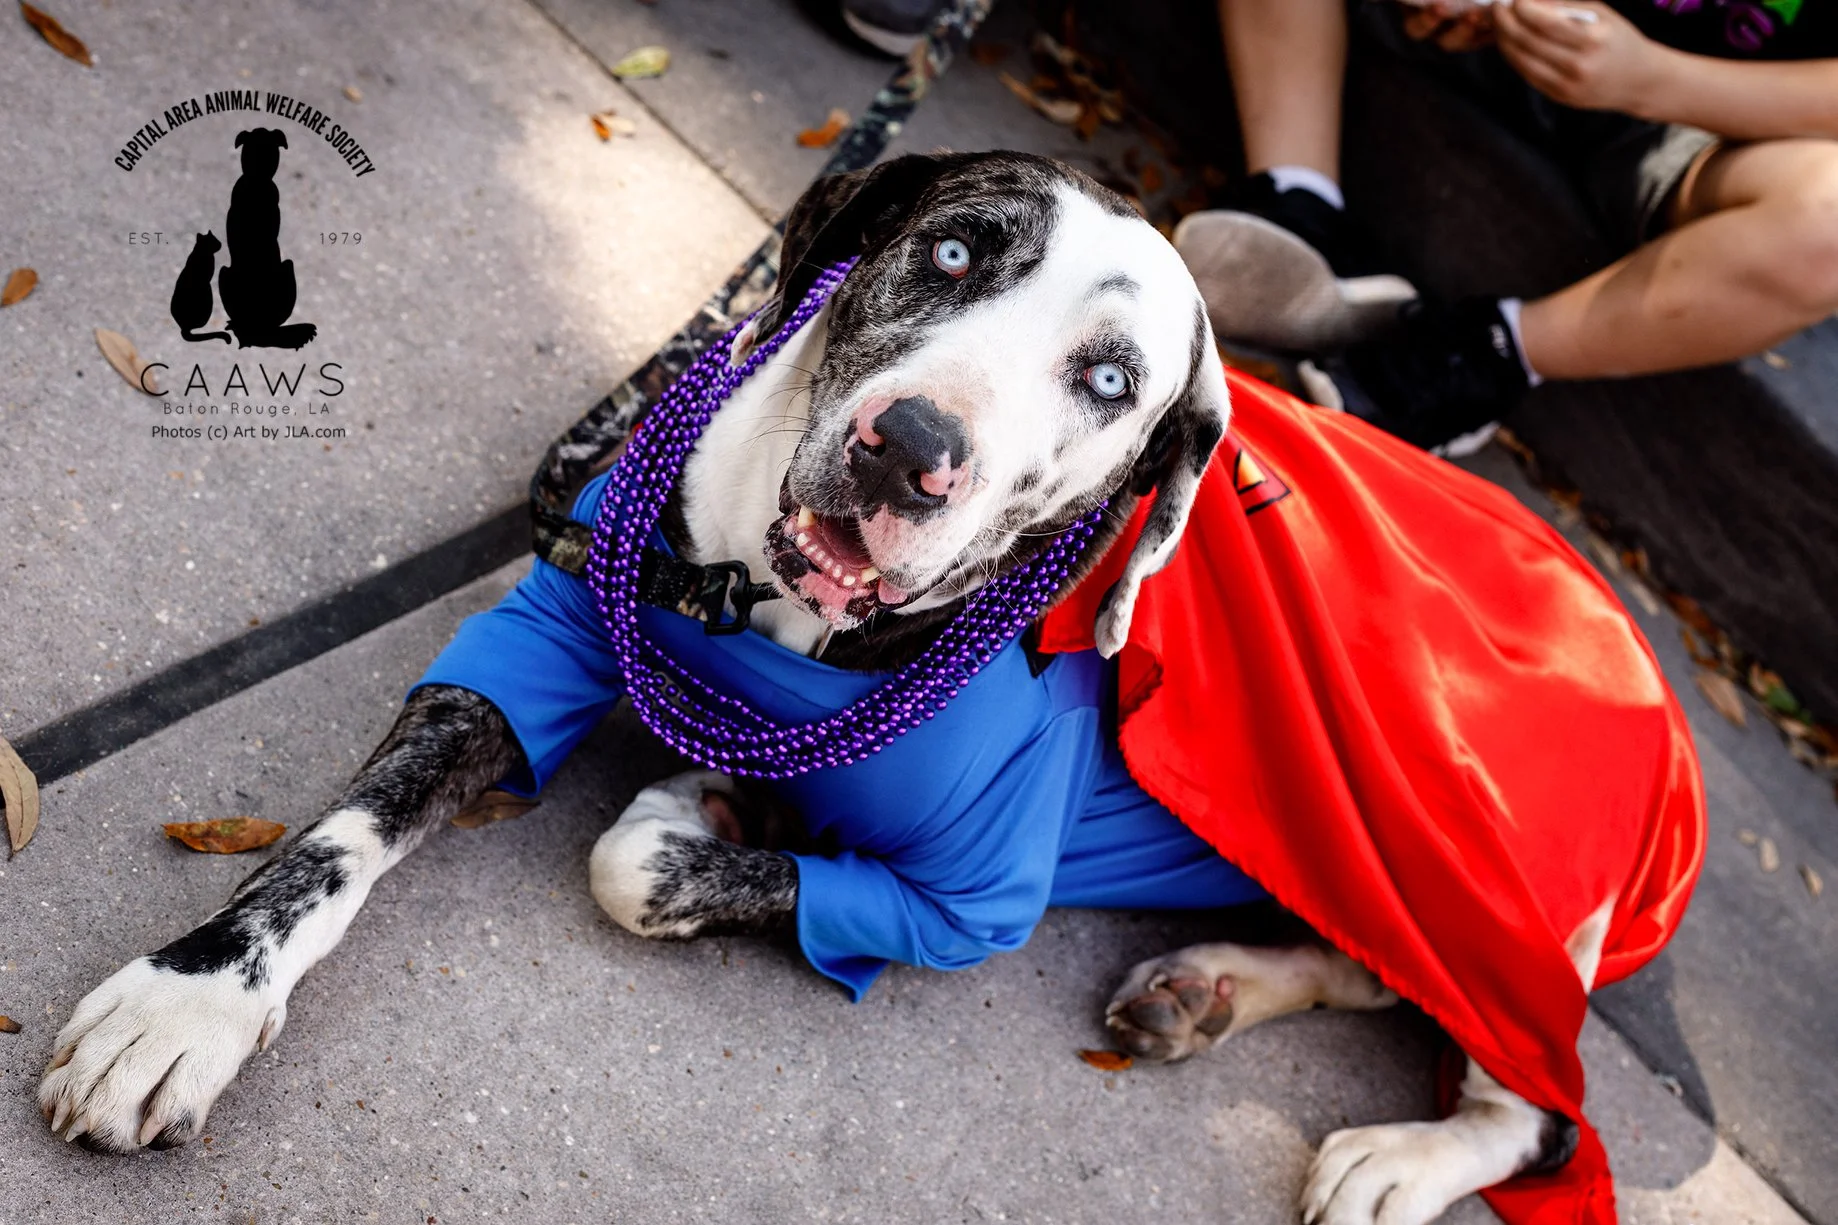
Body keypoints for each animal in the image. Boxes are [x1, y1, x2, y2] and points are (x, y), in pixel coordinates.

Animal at [42, 151, 1597, 1225]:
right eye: (953, 249)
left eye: (1108, 379)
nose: (908, 448)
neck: (771, 620)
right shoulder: (530, 644)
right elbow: (345, 833)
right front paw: (192, 1002)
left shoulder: (976, 901)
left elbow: (640, 867)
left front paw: (715, 812)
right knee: (1363, 967)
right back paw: (1201, 989)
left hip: (1515, 923)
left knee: (1534, 1115)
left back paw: (1395, 1158)